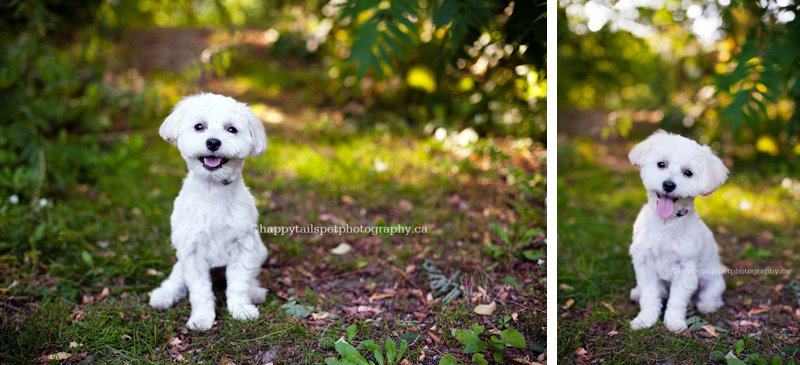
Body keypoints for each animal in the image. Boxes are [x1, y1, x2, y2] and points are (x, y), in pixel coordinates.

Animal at [145, 91, 268, 330]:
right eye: (199, 126)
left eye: (231, 129)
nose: (213, 142)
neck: (214, 191)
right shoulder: (190, 252)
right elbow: (200, 291)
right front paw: (201, 318)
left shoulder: (244, 247)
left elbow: (239, 284)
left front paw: (241, 309)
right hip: (181, 262)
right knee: (176, 279)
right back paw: (164, 295)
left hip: (259, 252)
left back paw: (255, 291)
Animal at [628, 129, 728, 332]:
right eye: (661, 164)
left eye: (688, 173)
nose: (668, 185)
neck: (667, 223)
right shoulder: (645, 264)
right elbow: (649, 296)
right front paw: (645, 320)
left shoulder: (686, 269)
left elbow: (677, 301)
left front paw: (674, 323)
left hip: (711, 279)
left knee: (712, 293)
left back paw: (707, 305)